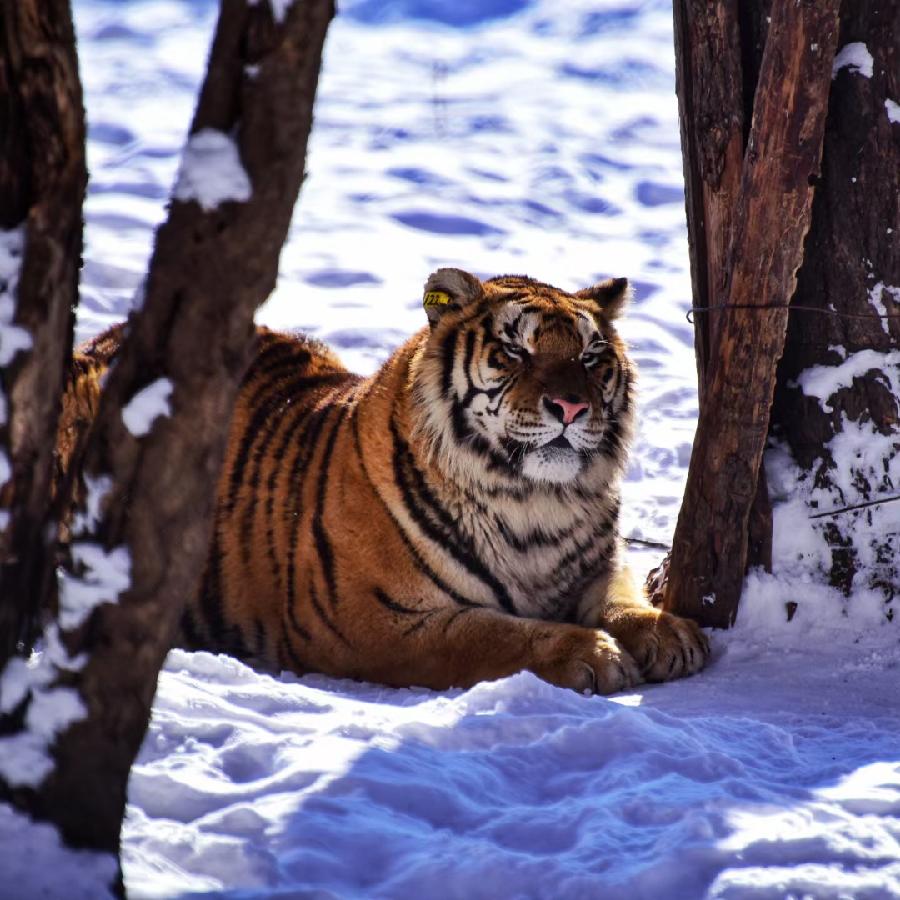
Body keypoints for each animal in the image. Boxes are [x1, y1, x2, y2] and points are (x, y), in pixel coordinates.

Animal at [60, 268, 709, 694]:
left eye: (591, 358)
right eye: (514, 351)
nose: (571, 408)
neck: (537, 503)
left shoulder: (600, 565)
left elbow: (622, 597)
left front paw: (669, 633)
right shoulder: (377, 622)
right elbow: (496, 636)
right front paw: (592, 654)